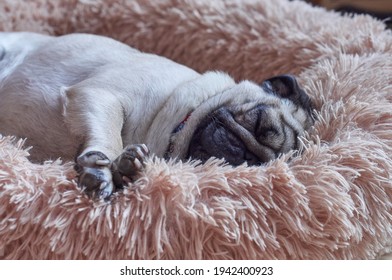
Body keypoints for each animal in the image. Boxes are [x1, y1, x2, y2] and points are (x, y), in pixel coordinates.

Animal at [0, 32, 312, 199]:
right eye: (258, 123)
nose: (248, 157)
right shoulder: (99, 95)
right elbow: (110, 137)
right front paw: (102, 169)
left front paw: (126, 168)